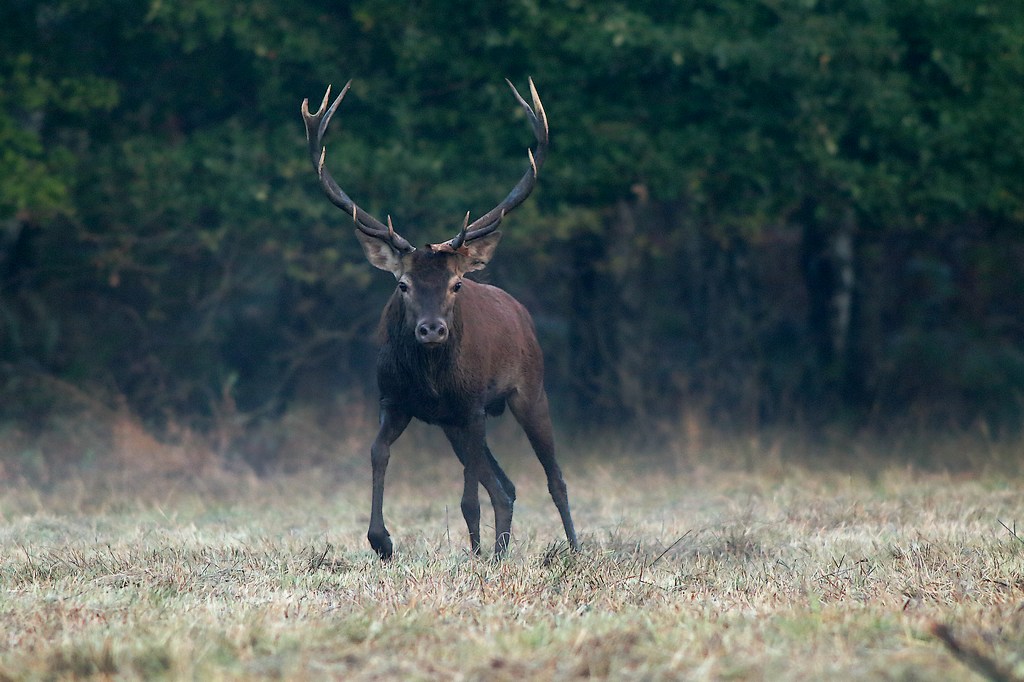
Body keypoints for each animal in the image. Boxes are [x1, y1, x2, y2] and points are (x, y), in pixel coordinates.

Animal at [301, 79, 579, 560]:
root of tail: (522, 313)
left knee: (552, 477)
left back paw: (572, 550)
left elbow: (469, 496)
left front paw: (472, 551)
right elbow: (377, 452)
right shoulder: (395, 400)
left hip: (530, 388)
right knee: (506, 487)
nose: (432, 329)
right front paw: (381, 540)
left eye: (456, 285)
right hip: (454, 424)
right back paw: (499, 553)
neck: (430, 381)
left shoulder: (470, 405)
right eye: (402, 285)